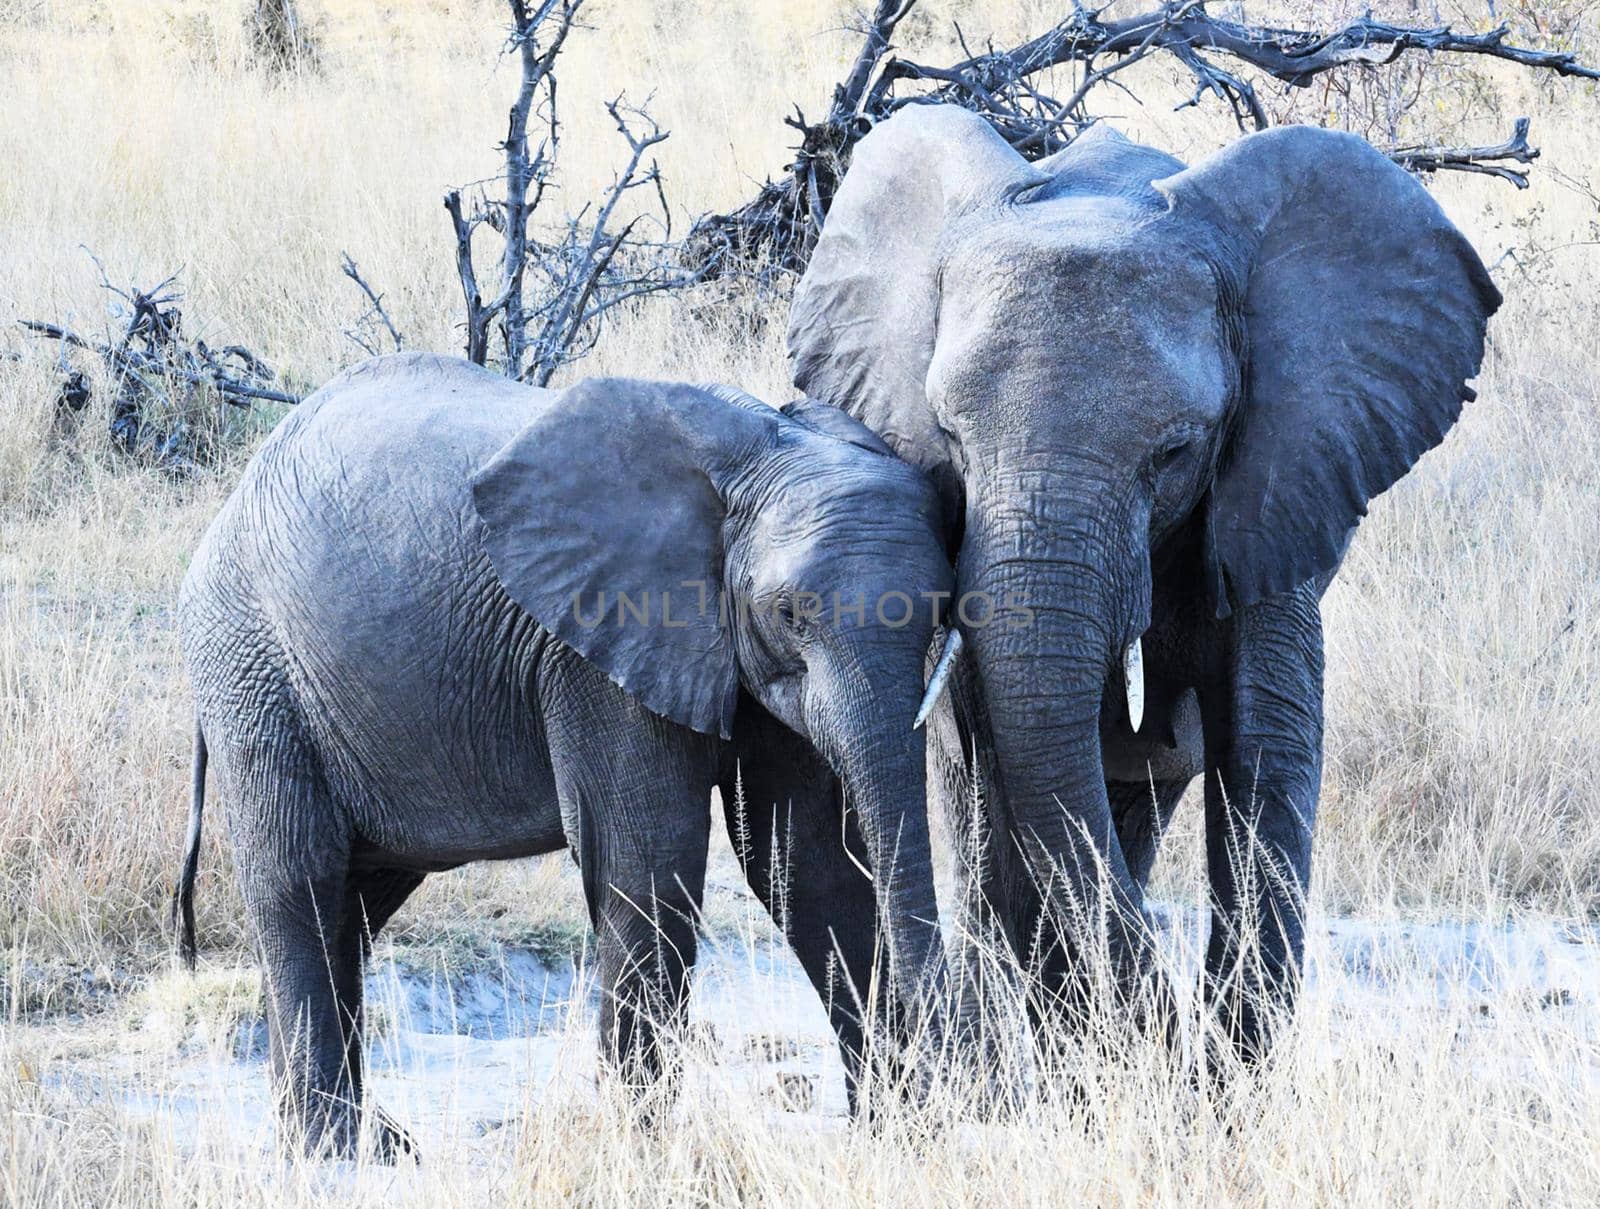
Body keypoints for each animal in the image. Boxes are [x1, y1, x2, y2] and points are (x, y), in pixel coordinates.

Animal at [175, 351, 953, 1164]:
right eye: (789, 612)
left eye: (944, 605)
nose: (952, 1081)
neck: (758, 446)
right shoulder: (595, 647)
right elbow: (648, 862)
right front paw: (637, 1154)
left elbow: (805, 863)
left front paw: (900, 1138)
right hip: (253, 672)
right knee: (299, 883)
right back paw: (329, 1149)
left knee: (355, 904)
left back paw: (378, 1145)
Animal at [787, 108, 1497, 1061]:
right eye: (949, 436)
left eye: (1175, 451)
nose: (1173, 1032)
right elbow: (1000, 767)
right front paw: (1128, 1054)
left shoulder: (1277, 486)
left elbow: (1267, 748)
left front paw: (1217, 1075)